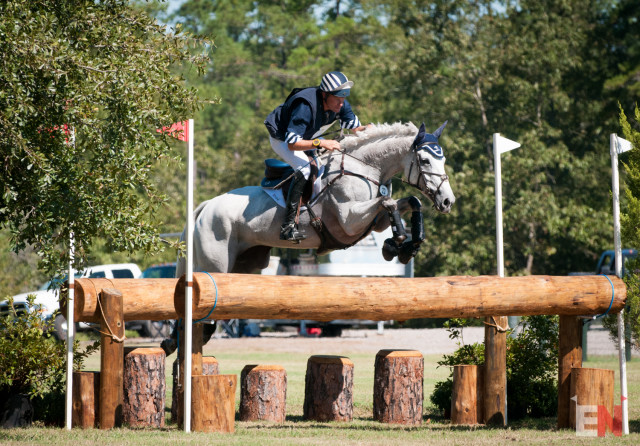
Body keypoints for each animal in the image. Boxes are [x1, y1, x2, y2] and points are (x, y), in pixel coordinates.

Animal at [175, 121, 456, 276]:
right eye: (425, 160)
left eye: (443, 159)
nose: (447, 201)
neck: (363, 167)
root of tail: (206, 207)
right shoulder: (349, 221)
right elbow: (387, 203)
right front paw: (396, 242)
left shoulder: (373, 222)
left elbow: (409, 202)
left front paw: (406, 246)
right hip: (214, 264)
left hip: (244, 263)